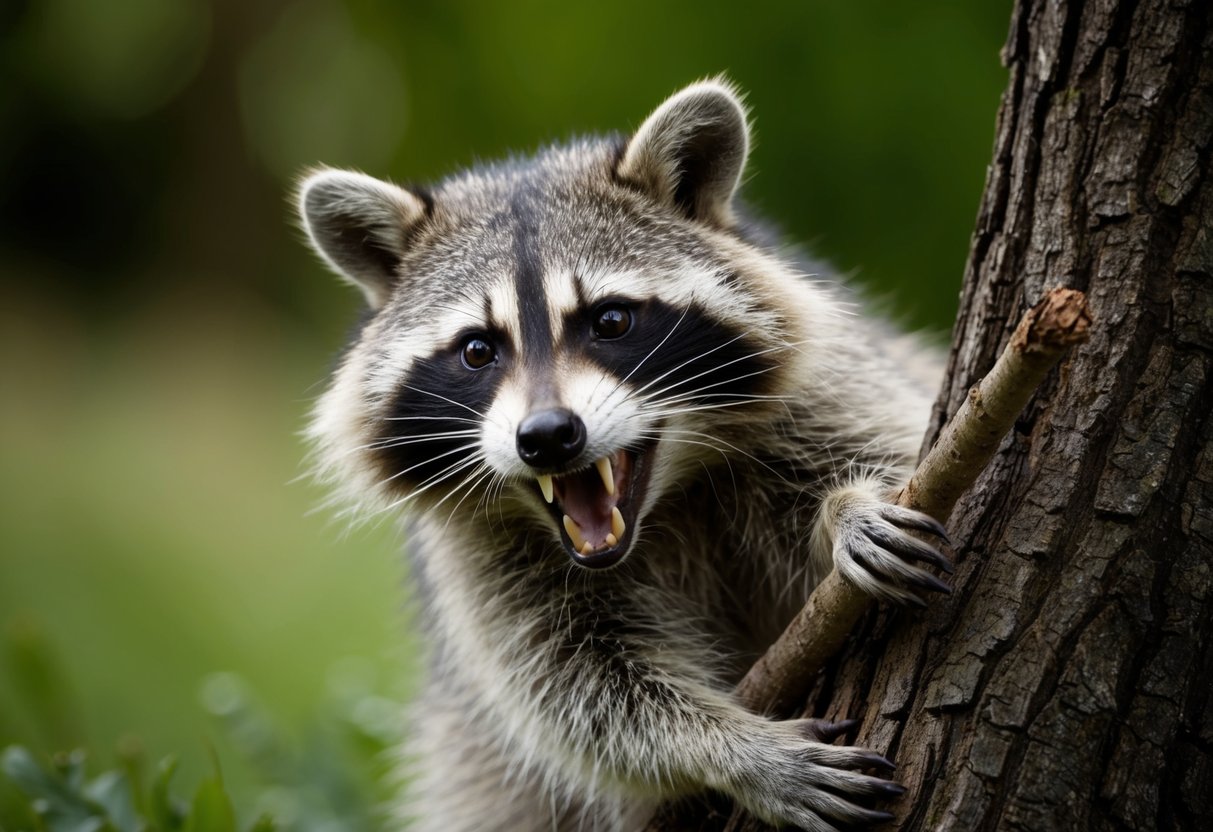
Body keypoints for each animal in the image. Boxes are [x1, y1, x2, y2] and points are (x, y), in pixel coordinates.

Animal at [298, 80, 951, 831]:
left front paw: (850, 505)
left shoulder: (830, 388)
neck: (663, 505)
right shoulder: (477, 556)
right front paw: (735, 748)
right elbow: (577, 691)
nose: (548, 435)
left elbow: (894, 445)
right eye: (477, 350)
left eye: (610, 320)